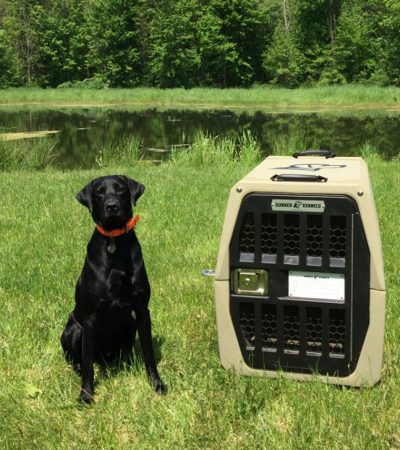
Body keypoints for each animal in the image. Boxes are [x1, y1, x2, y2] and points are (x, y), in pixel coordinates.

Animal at [59, 174, 166, 402]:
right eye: (99, 192)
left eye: (121, 189)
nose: (112, 206)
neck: (114, 242)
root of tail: (105, 359)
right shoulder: (90, 318)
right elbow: (88, 364)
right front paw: (86, 395)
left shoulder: (142, 311)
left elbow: (149, 354)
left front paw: (156, 383)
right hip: (73, 330)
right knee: (80, 360)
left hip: (130, 323)